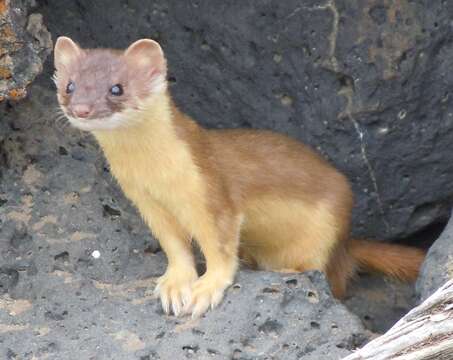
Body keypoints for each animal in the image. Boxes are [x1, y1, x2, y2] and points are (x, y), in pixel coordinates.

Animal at [54, 36, 426, 318]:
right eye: (70, 85)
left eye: (116, 88)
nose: (82, 109)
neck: (156, 176)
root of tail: (346, 243)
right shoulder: (146, 202)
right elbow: (174, 246)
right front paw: (175, 286)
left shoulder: (211, 191)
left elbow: (219, 247)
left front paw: (205, 289)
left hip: (329, 229)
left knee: (331, 276)